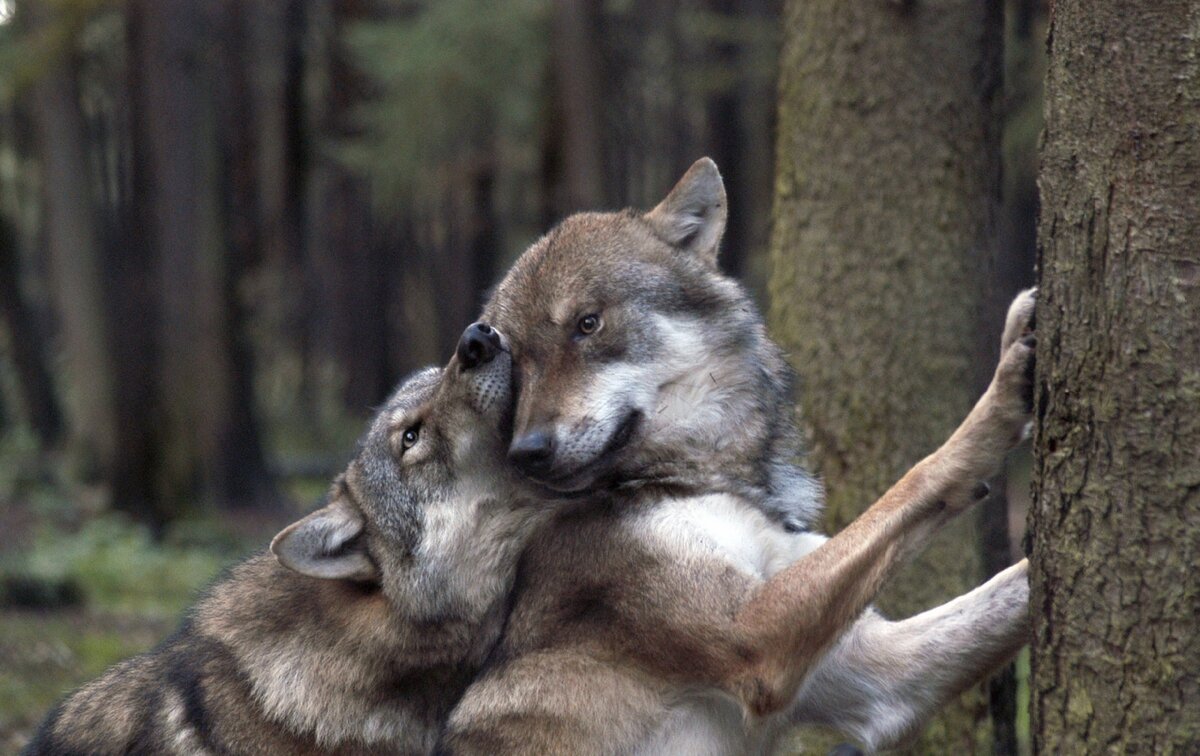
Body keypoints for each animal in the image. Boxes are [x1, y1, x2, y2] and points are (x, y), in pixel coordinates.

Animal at [446, 158, 1036, 753]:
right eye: (514, 359)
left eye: (587, 324)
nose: (526, 452)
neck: (697, 482)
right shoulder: (755, 634)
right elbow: (916, 478)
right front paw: (1005, 395)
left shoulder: (881, 680)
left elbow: (1008, 583)